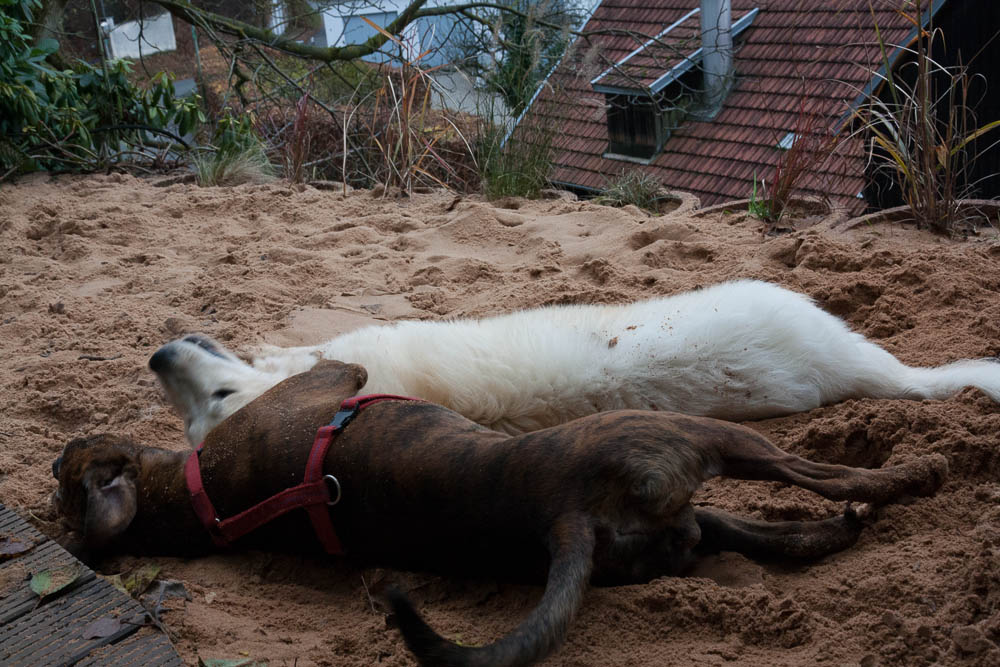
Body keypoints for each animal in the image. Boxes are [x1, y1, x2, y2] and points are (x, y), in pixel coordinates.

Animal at [50, 362, 948, 664]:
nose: (54, 467)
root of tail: (561, 519)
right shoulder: (337, 374)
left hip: (679, 531)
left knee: (775, 530)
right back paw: (914, 474)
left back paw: (842, 528)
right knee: (816, 471)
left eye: (61, 467)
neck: (202, 500)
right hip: (692, 436)